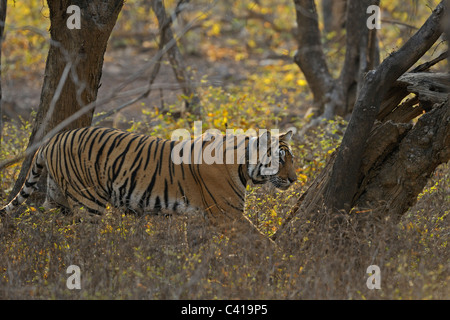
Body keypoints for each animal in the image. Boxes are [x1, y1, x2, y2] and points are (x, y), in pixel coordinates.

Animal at [1, 126, 298, 244]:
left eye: (292, 159)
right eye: (280, 159)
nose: (294, 179)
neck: (243, 165)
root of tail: (51, 141)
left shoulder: (209, 218)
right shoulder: (228, 215)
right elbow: (261, 241)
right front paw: (282, 262)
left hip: (56, 198)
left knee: (43, 226)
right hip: (88, 203)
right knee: (84, 238)